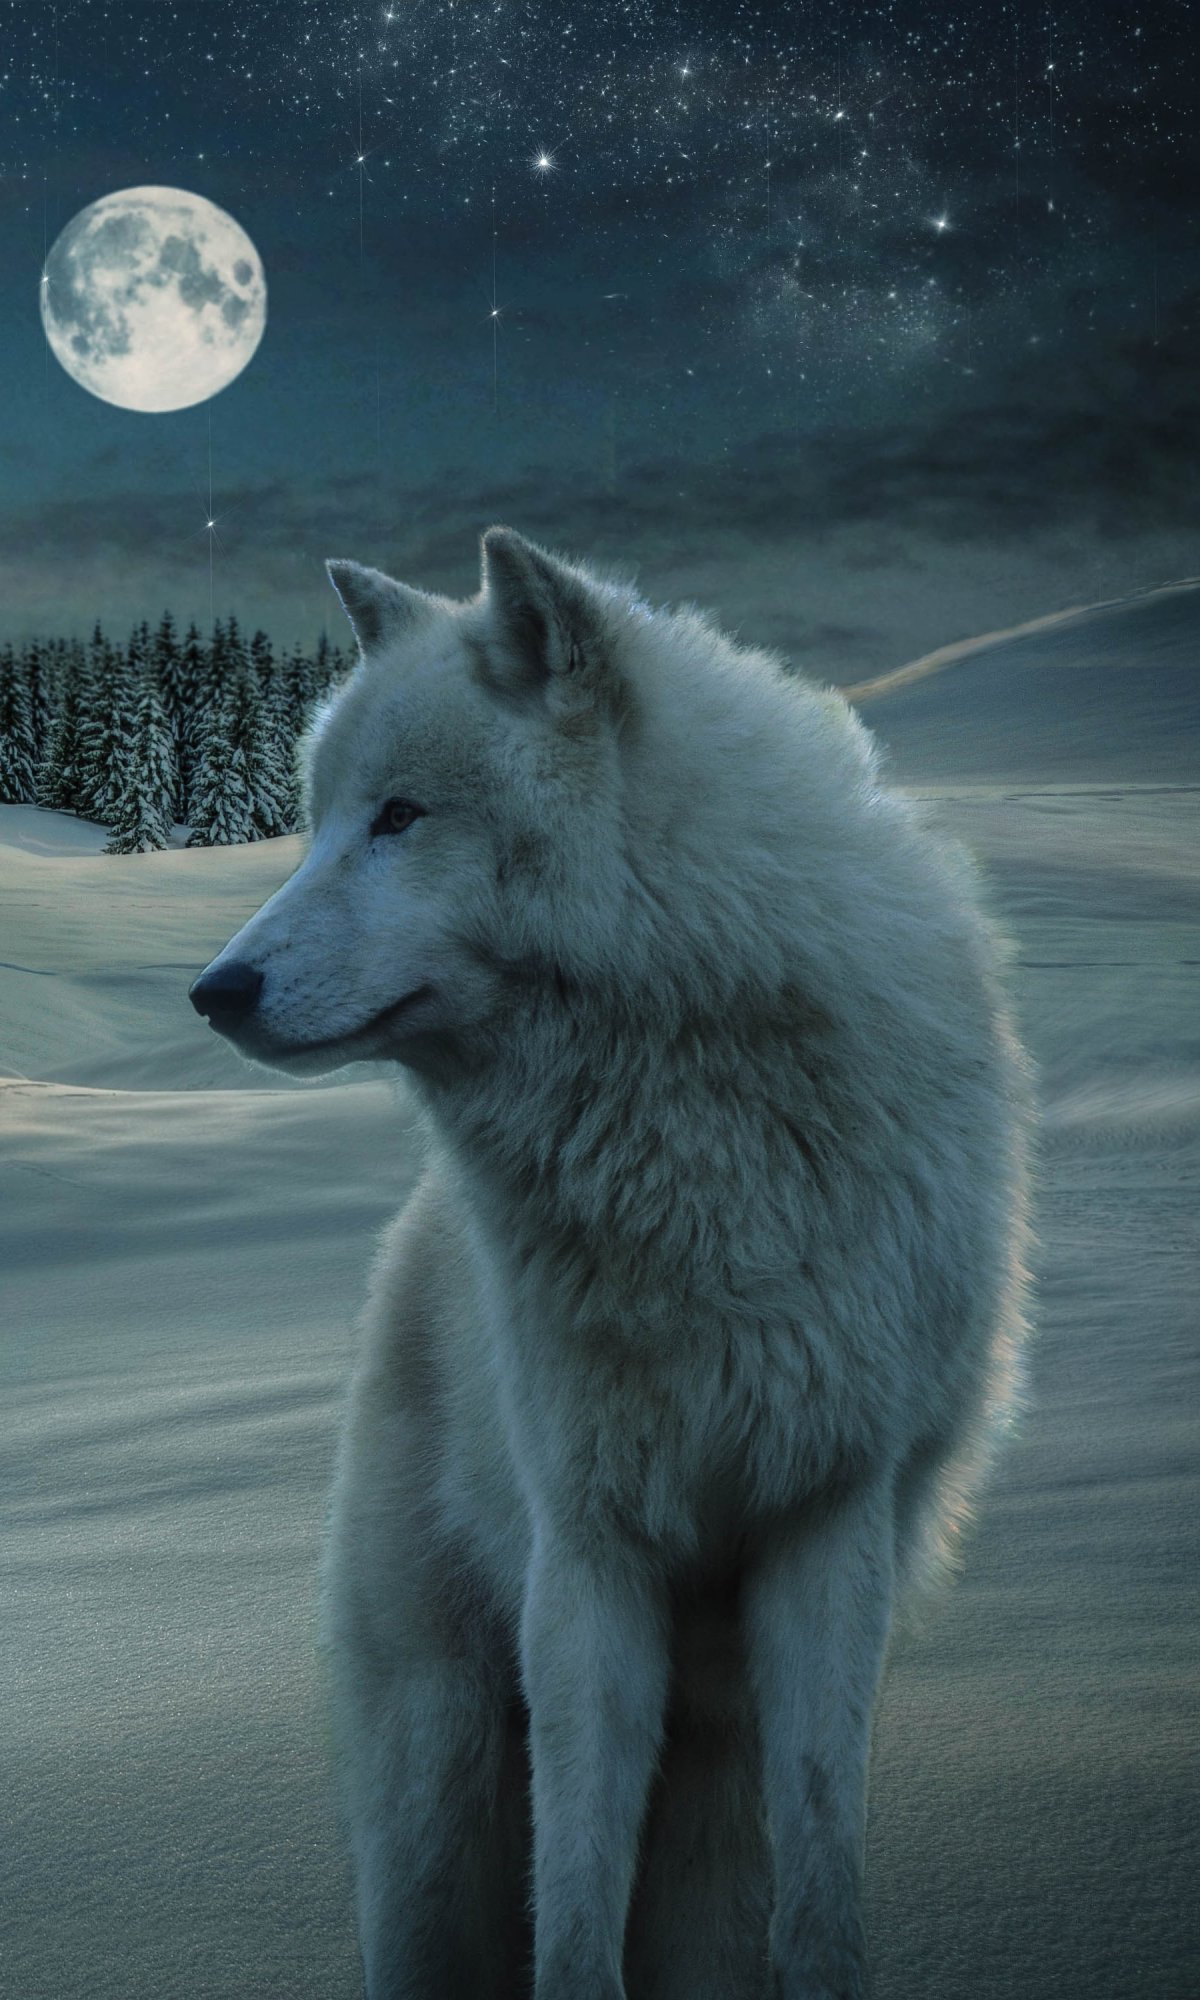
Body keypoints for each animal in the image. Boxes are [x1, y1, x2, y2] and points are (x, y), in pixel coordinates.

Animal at [190, 528, 1033, 2000]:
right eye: (320, 817)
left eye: (400, 816)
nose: (215, 990)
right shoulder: (588, 1553)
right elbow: (576, 1903)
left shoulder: (831, 1517)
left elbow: (821, 1875)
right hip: (437, 1775)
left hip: (712, 1779)